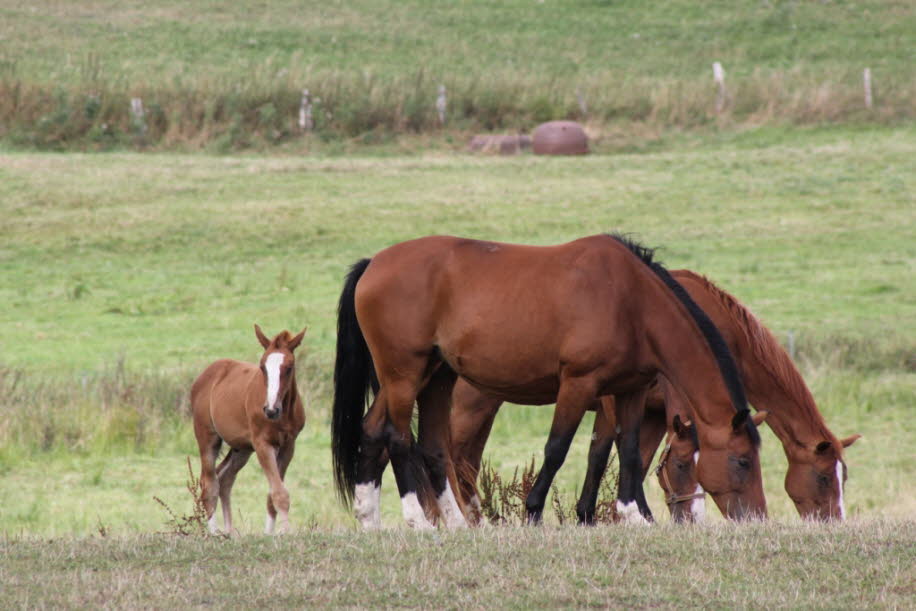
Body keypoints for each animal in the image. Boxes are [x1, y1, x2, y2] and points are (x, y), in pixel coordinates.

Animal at [191, 326, 308, 536]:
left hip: (242, 448)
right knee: (209, 483)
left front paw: (269, 535)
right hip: (207, 438)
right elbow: (279, 493)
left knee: (225, 478)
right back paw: (214, 533)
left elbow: (273, 493)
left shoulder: (289, 445)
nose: (270, 410)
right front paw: (285, 532)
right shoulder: (262, 444)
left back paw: (229, 532)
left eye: (289, 367)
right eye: (262, 367)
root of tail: (204, 376)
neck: (282, 414)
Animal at [330, 235, 764, 532]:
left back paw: (387, 520)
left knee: (397, 438)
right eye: (743, 460)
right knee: (398, 438)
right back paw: (417, 521)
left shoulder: (630, 390)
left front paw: (631, 517)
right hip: (404, 376)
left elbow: (627, 451)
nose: (756, 518)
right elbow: (557, 449)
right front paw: (534, 512)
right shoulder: (578, 384)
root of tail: (374, 263)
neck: (631, 300)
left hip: (433, 377)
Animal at [450, 270, 860, 524]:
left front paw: (604, 517)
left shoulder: (646, 413)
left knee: (467, 463)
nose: (834, 522)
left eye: (844, 478)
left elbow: (627, 459)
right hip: (470, 406)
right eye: (824, 478)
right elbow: (641, 458)